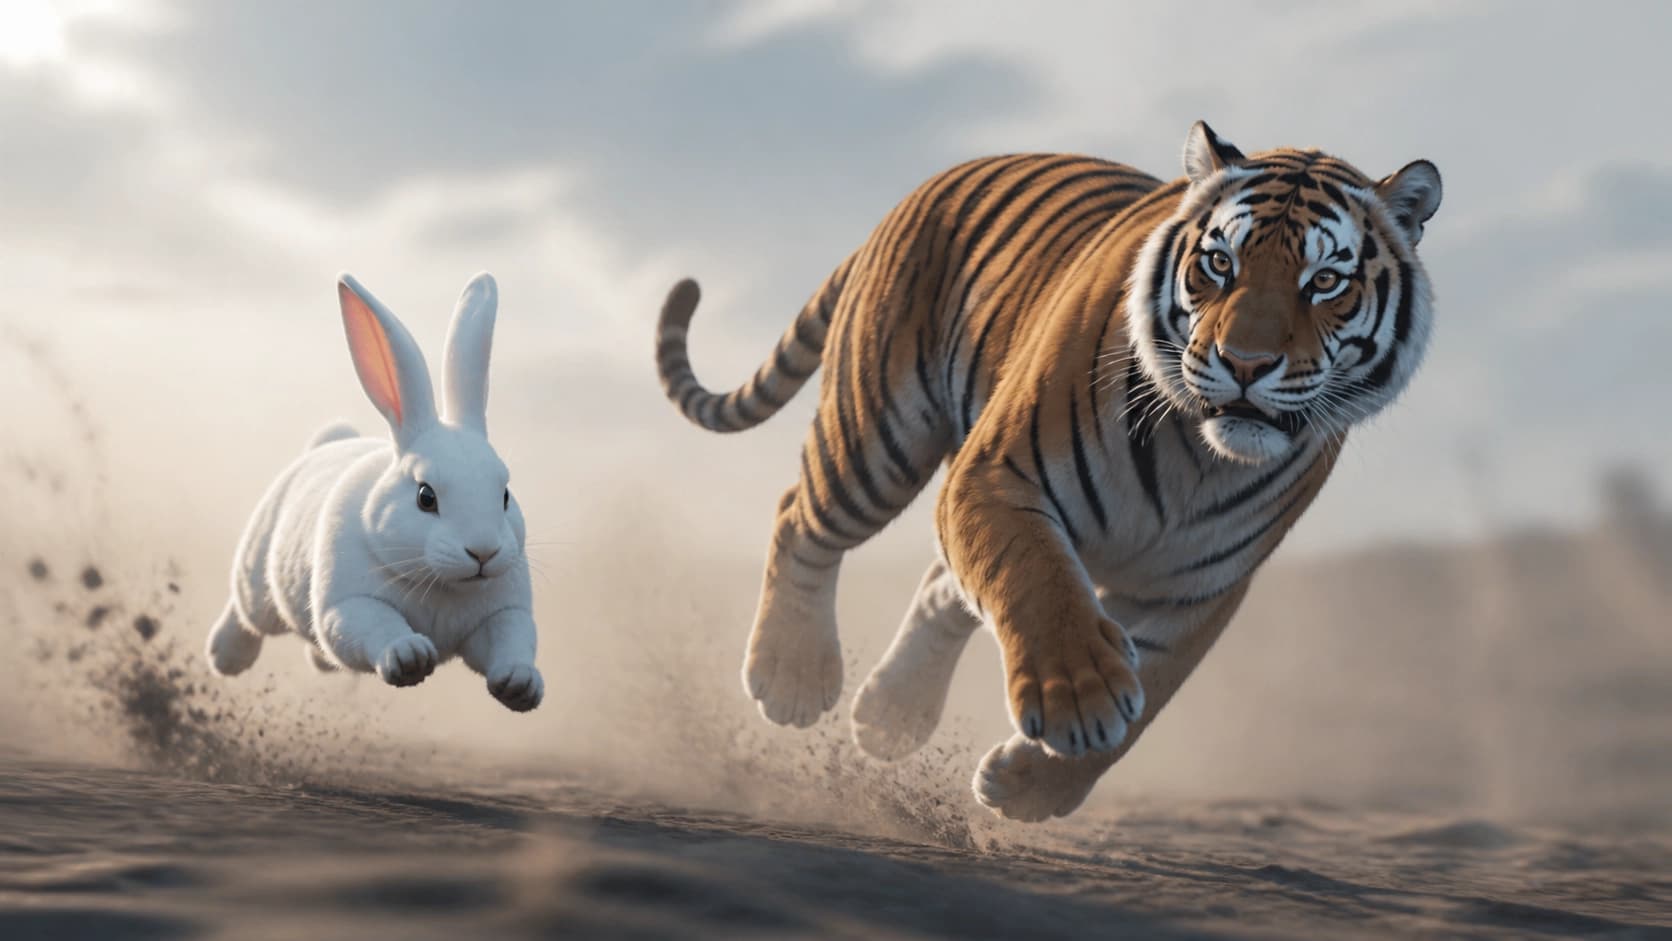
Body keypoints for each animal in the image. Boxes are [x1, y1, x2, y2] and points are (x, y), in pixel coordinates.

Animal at [203, 272, 543, 712]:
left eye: (504, 494)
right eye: (425, 497)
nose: (483, 552)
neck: (441, 583)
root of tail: (327, 444)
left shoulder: (504, 613)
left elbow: (510, 642)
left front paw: (521, 685)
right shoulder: (348, 605)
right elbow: (375, 626)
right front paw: (409, 656)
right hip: (259, 576)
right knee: (246, 612)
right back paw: (225, 657)